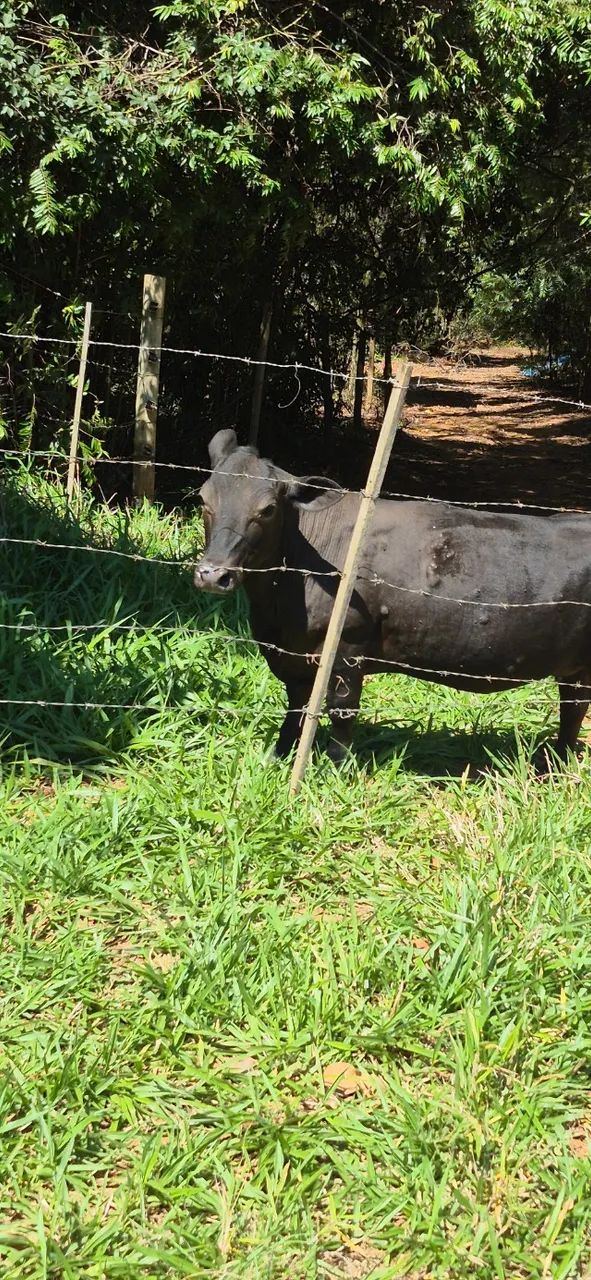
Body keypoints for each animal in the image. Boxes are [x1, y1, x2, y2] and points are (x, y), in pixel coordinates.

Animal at [193, 428, 591, 764]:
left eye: (267, 509)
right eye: (203, 500)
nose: (213, 574)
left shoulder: (348, 645)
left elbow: (342, 710)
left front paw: (337, 766)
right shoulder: (291, 654)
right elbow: (296, 706)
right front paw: (277, 756)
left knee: (574, 710)